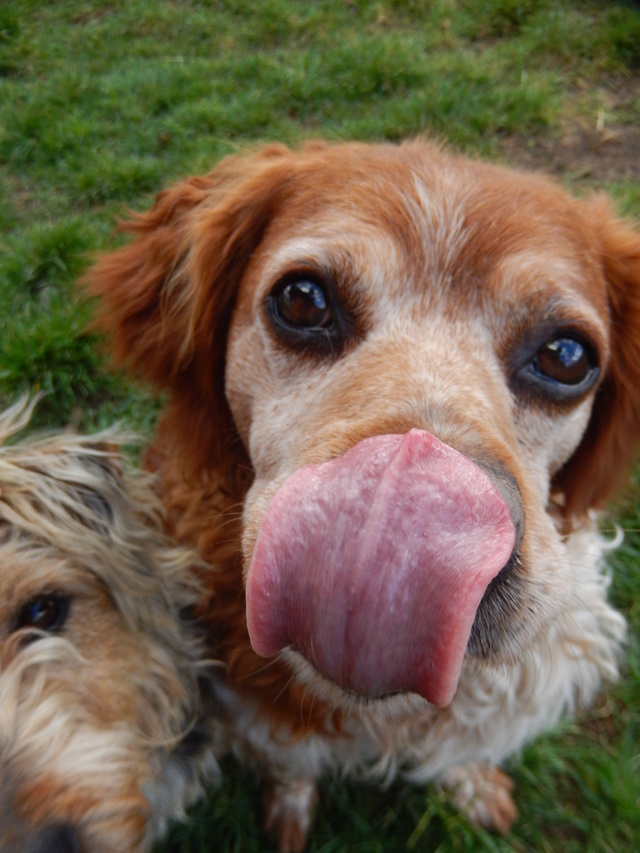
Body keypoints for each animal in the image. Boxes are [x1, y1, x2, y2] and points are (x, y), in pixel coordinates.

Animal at [86, 136, 640, 848]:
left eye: (567, 358)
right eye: (302, 300)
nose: (410, 518)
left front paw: (473, 784)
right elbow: (290, 763)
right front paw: (289, 810)